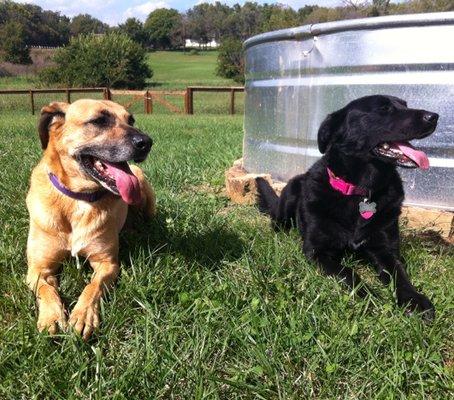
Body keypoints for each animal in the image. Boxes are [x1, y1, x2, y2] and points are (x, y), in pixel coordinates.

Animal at [25, 98, 156, 340]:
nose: (147, 142)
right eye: (99, 120)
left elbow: (92, 287)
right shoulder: (38, 268)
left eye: (131, 120)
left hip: (144, 186)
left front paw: (83, 315)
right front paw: (52, 317)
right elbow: (47, 289)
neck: (79, 199)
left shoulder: (107, 263)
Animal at [255, 94, 436, 318]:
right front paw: (369, 296)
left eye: (405, 105)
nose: (434, 116)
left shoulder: (386, 250)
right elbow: (348, 272)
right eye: (384, 109)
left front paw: (414, 300)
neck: (361, 192)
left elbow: (399, 273)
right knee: (277, 222)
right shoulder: (317, 252)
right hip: (289, 199)